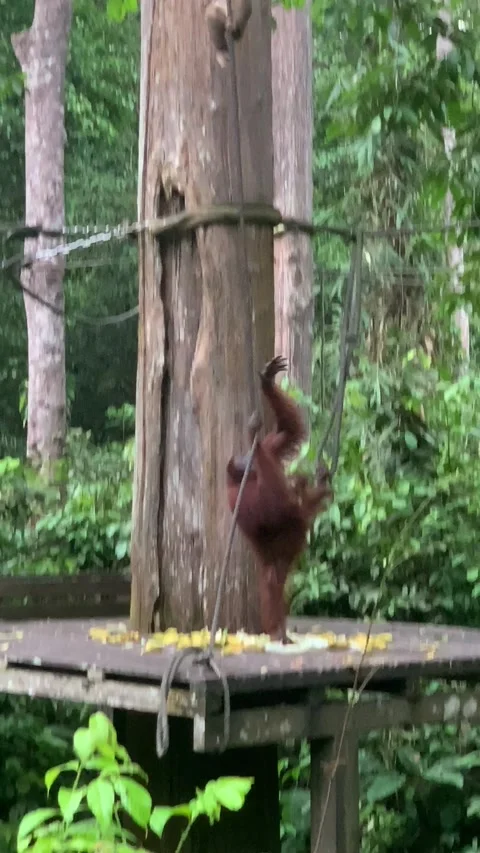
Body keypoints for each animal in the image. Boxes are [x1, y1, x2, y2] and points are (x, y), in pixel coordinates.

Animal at [226, 356, 333, 642]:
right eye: (242, 464)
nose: (246, 459)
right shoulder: (240, 495)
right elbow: (273, 507)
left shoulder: (271, 449)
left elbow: (288, 432)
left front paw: (267, 382)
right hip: (285, 538)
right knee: (273, 575)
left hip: (290, 541)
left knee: (274, 576)